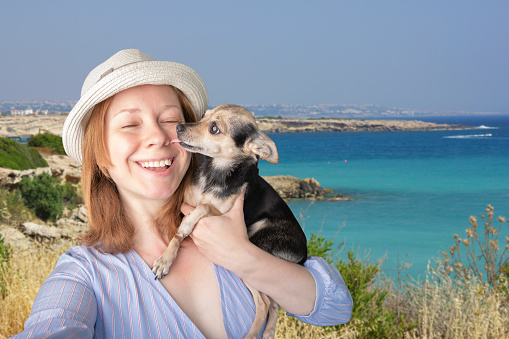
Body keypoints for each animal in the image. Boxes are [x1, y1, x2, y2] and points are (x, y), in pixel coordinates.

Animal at [151, 105, 308, 338]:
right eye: (203, 116)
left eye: (214, 128)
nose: (178, 127)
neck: (214, 174)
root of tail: (304, 254)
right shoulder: (185, 204)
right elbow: (176, 236)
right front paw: (165, 259)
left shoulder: (220, 213)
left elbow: (203, 207)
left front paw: (188, 223)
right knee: (273, 303)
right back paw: (268, 332)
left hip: (253, 257)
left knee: (264, 303)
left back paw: (252, 334)